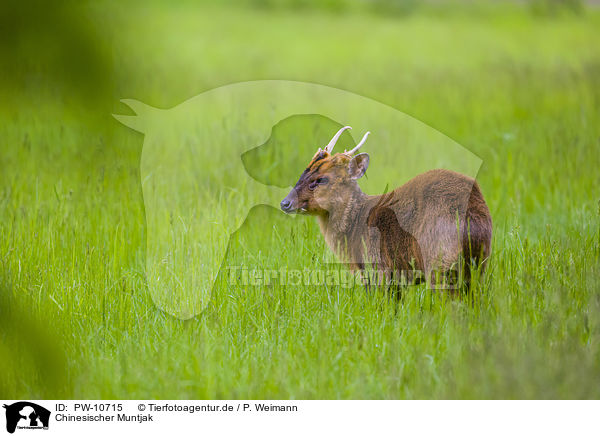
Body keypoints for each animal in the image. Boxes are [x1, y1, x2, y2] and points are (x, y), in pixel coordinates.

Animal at [282, 126, 492, 290]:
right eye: (303, 172)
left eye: (321, 179)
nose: (285, 203)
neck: (356, 226)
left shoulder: (379, 268)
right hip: (478, 262)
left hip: (440, 261)